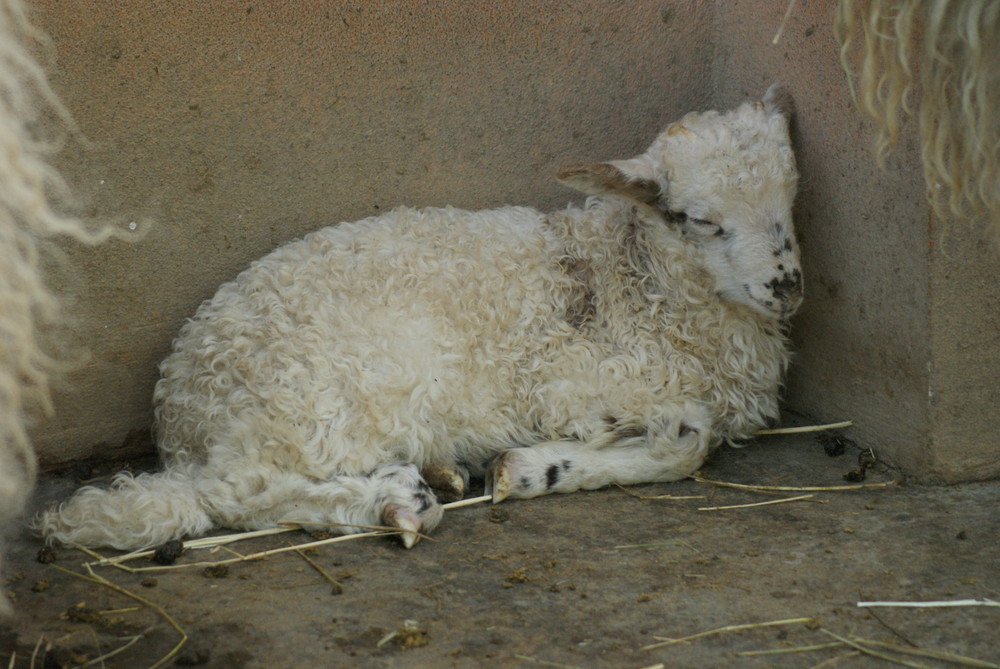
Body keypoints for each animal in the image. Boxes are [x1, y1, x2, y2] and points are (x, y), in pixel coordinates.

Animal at [41, 86, 804, 552]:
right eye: (697, 219)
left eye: (791, 198)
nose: (787, 283)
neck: (634, 279)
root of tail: (180, 411)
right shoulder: (576, 383)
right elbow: (689, 439)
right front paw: (539, 466)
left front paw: (535, 467)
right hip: (309, 399)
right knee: (237, 492)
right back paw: (393, 499)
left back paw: (431, 474)